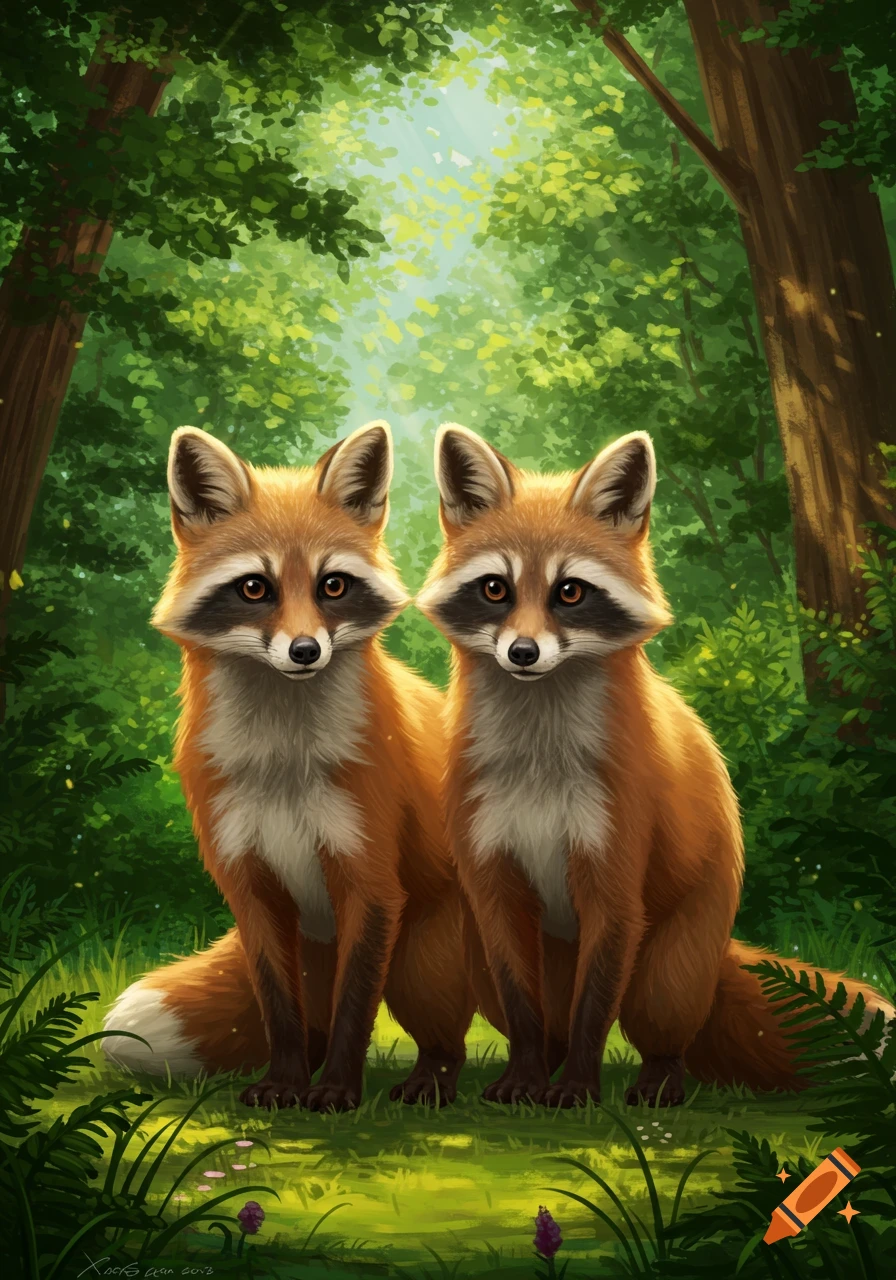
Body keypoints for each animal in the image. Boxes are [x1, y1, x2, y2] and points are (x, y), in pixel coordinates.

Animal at [103, 421, 475, 1111]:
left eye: (333, 585)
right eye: (256, 587)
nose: (305, 650)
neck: (284, 764)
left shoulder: (370, 881)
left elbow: (356, 1008)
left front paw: (336, 1092)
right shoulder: (250, 887)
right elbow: (279, 1011)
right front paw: (284, 1084)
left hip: (421, 967)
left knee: (443, 1041)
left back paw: (427, 1084)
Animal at [416, 423, 895, 1108]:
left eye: (569, 592)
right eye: (495, 589)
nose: (523, 652)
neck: (539, 764)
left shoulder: (615, 883)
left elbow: (594, 1013)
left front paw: (578, 1089)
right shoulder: (493, 886)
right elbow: (526, 1015)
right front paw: (526, 1081)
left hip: (664, 977)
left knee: (658, 1037)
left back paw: (656, 1085)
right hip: (482, 959)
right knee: (544, 1023)